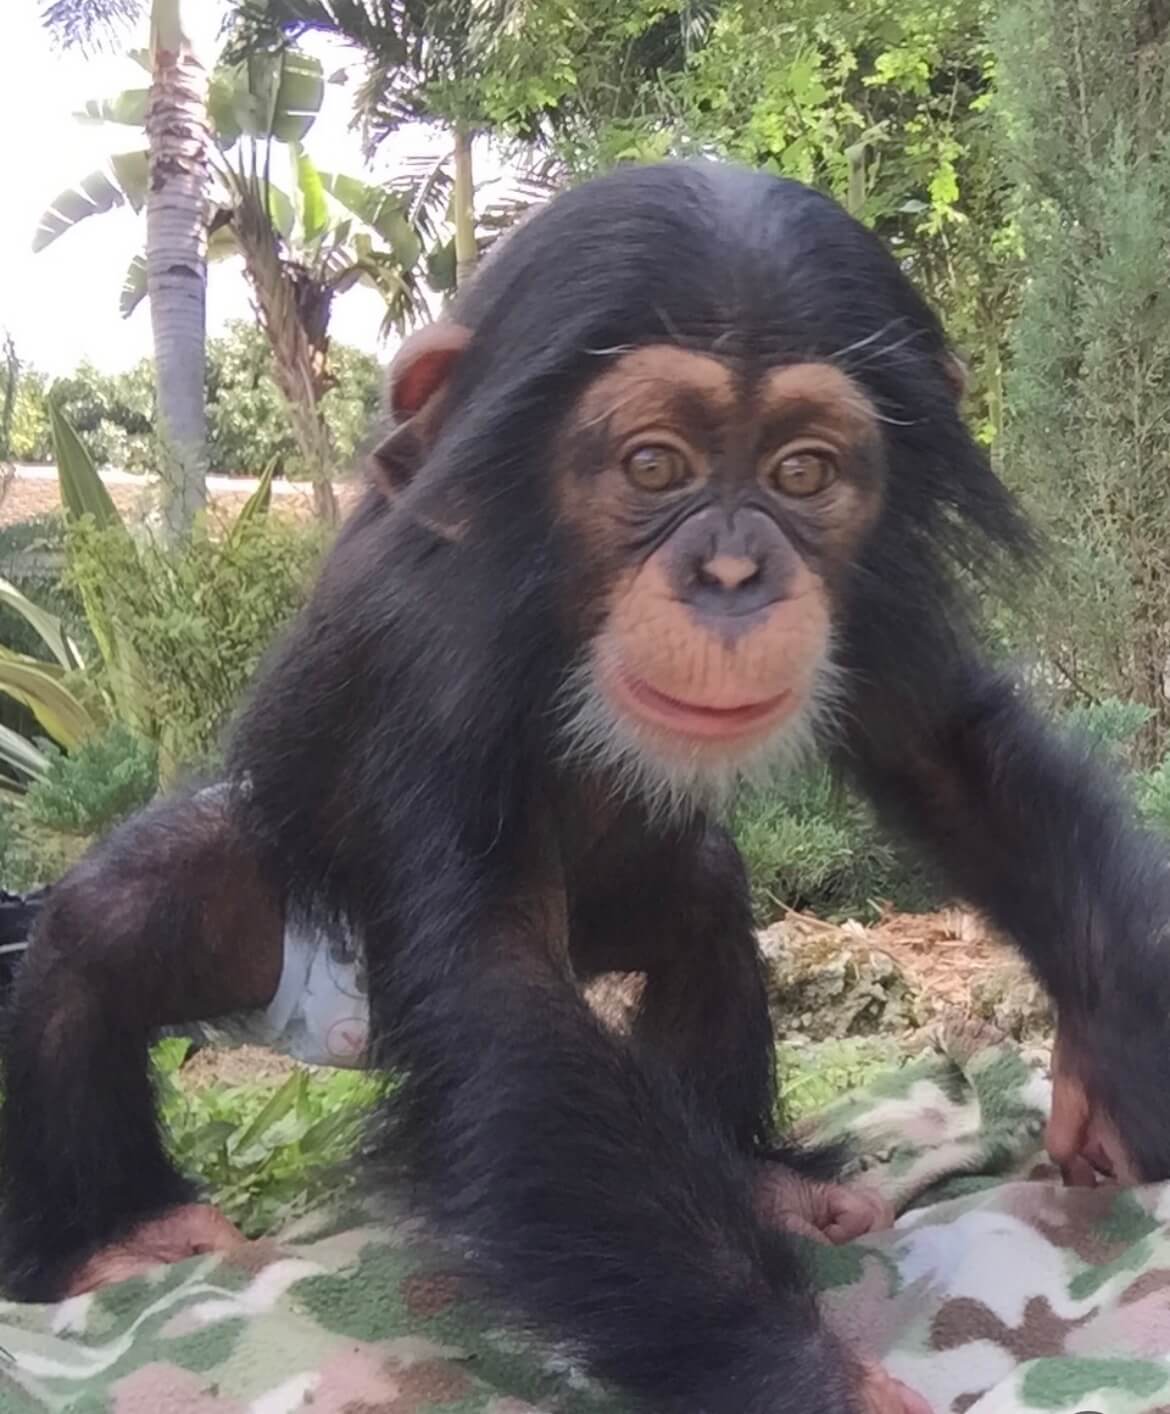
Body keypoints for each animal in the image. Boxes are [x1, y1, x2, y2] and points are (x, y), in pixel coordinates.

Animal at [4, 159, 1170, 1414]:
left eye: (802, 472)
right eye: (654, 464)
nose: (732, 570)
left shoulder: (879, 601)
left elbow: (953, 757)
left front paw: (1117, 1069)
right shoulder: (434, 656)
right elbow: (504, 985)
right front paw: (824, 1383)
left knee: (702, 903)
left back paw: (765, 1182)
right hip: (271, 921)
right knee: (104, 926)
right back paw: (114, 1237)